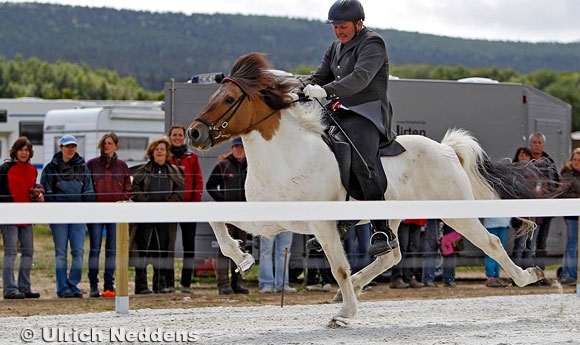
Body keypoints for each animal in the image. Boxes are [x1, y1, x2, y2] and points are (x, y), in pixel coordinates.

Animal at [188, 52, 548, 326]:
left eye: (229, 99)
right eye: (212, 96)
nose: (193, 134)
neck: (286, 155)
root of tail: (447, 149)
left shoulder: (322, 226)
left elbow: (339, 267)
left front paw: (345, 314)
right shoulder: (271, 221)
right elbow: (217, 220)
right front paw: (243, 257)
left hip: (456, 213)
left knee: (491, 243)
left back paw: (529, 276)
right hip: (392, 219)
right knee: (392, 255)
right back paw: (357, 285)